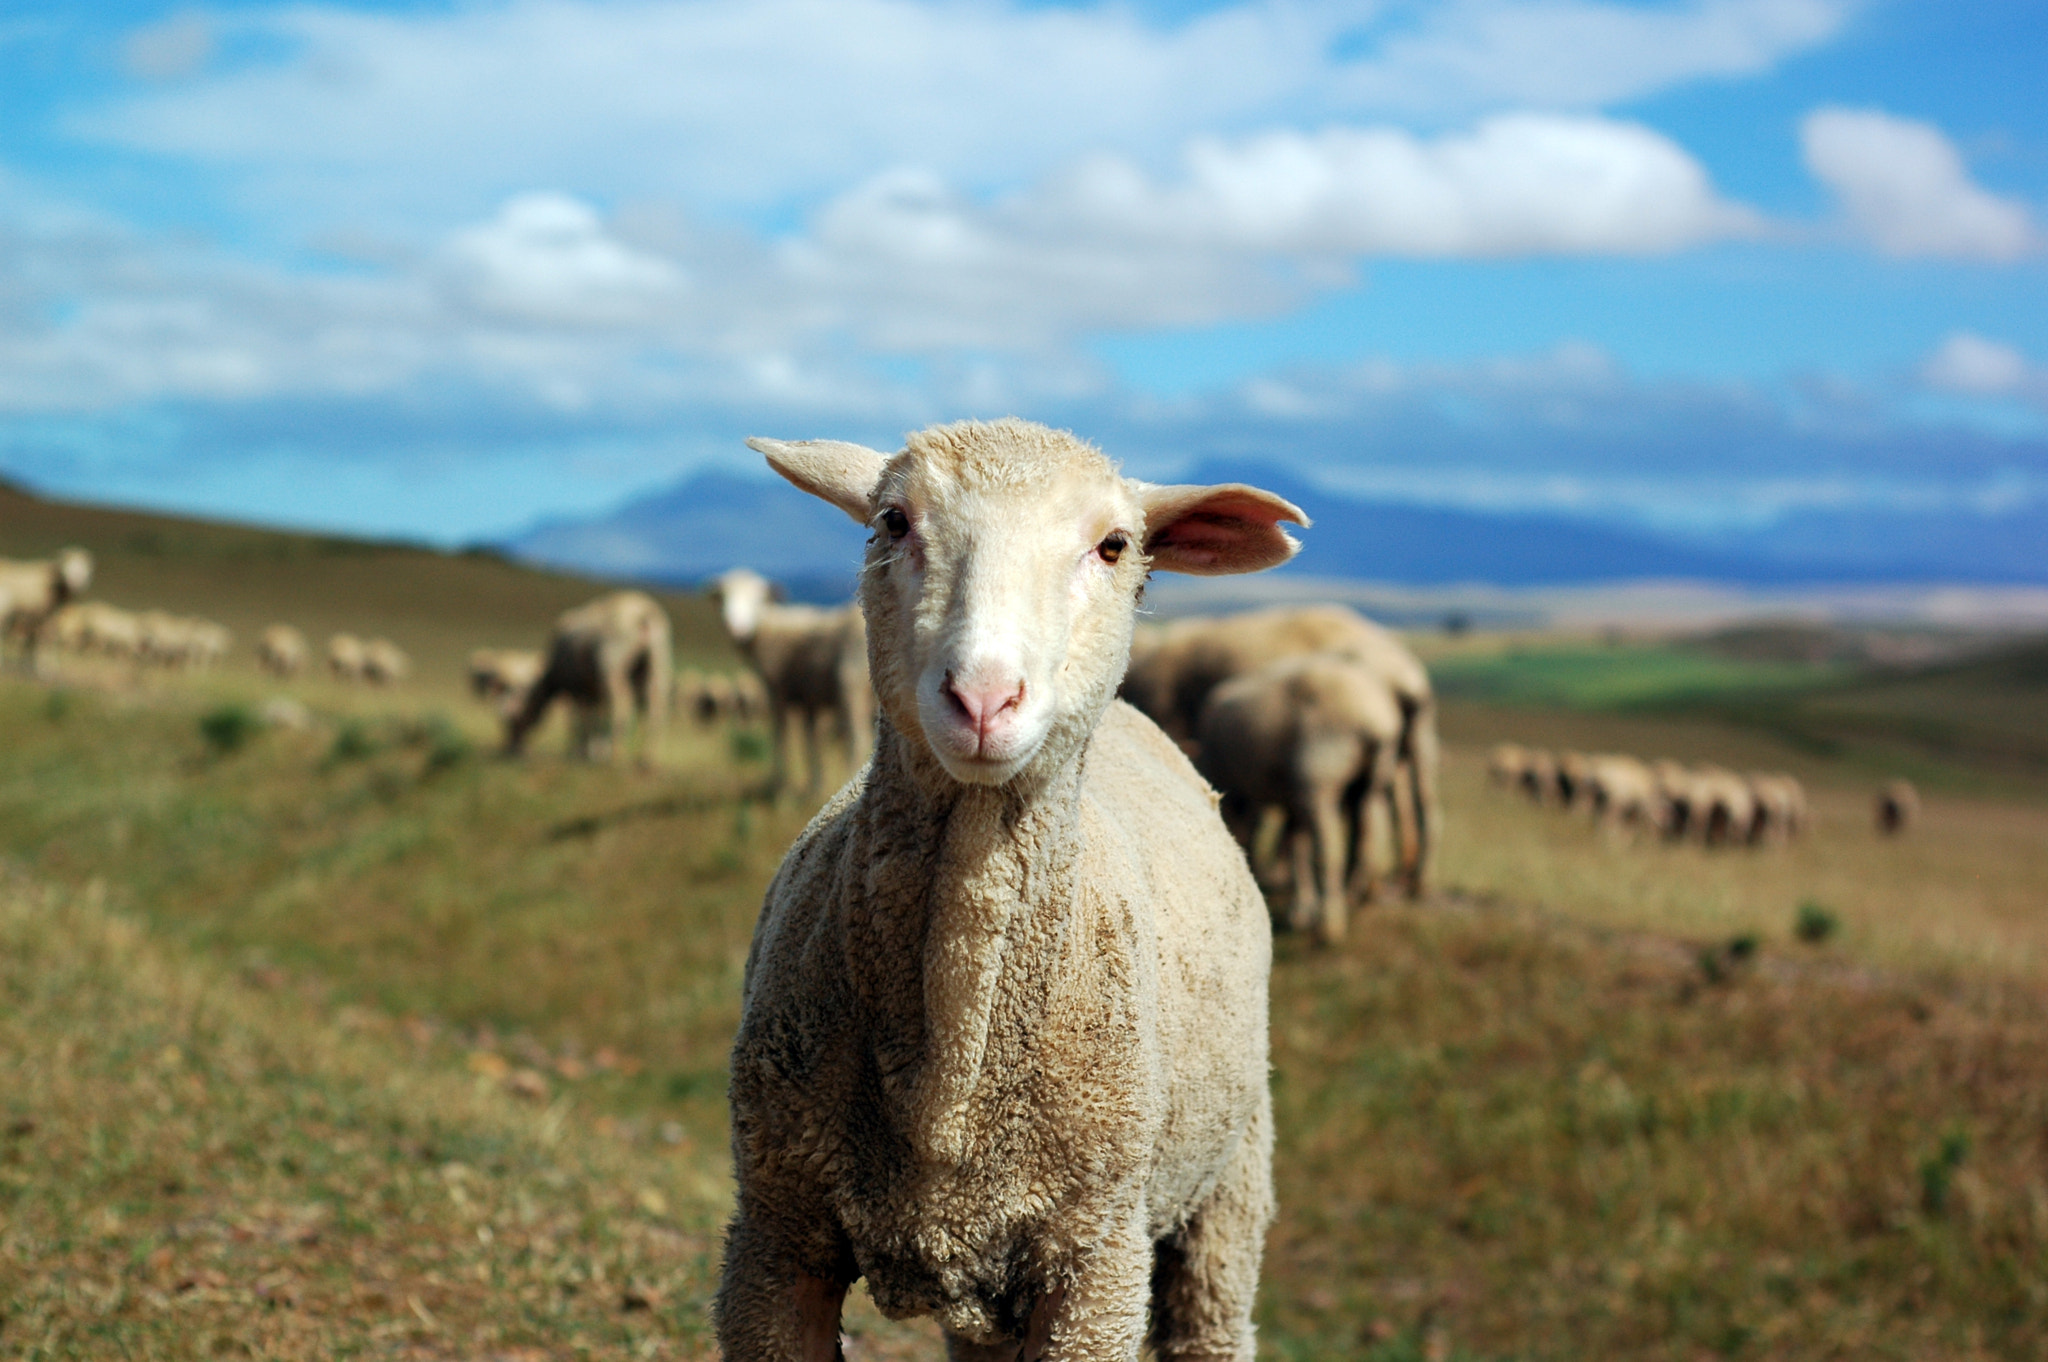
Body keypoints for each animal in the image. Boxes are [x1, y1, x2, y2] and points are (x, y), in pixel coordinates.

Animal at [503, 589, 671, 765]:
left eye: (515, 720)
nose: (510, 749)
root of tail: (644, 611)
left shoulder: (575, 688)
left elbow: (579, 719)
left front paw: (579, 752)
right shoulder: (592, 690)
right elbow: (596, 717)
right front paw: (594, 751)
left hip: (612, 666)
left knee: (621, 705)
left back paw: (617, 754)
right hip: (658, 662)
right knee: (656, 707)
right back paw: (648, 758)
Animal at [708, 565, 868, 798]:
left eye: (756, 599)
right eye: (724, 597)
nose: (735, 627)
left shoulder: (777, 692)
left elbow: (780, 736)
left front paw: (779, 786)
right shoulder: (810, 699)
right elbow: (811, 742)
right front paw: (815, 785)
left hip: (852, 687)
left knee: (856, 739)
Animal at [1196, 655, 1400, 942]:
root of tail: (1375, 721)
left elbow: (1291, 845)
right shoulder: (1292, 799)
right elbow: (1295, 845)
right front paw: (1302, 908)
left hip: (1320, 774)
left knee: (1328, 850)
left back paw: (1330, 925)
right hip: (1370, 780)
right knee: (1367, 832)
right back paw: (1358, 897)